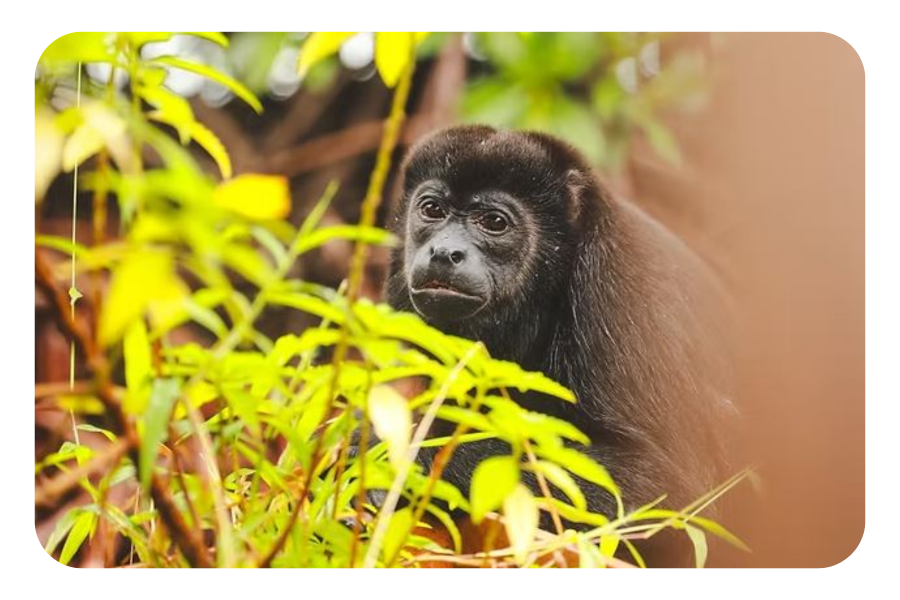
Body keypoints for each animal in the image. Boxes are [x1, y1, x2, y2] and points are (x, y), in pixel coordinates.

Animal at [383, 124, 735, 562]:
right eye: (432, 210)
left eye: (494, 222)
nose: (444, 252)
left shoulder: (614, 290)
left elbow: (671, 496)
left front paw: (403, 452)